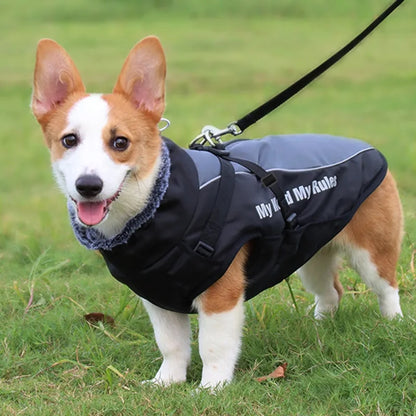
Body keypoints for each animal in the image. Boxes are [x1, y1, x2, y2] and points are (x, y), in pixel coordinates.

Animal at [31, 36, 404, 390]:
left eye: (120, 142)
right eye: (69, 140)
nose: (88, 186)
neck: (158, 201)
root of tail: (367, 147)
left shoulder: (221, 295)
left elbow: (213, 345)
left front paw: (213, 387)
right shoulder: (158, 295)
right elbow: (171, 344)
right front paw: (167, 382)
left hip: (372, 252)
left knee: (386, 288)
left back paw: (394, 324)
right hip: (310, 256)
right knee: (330, 292)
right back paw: (319, 328)